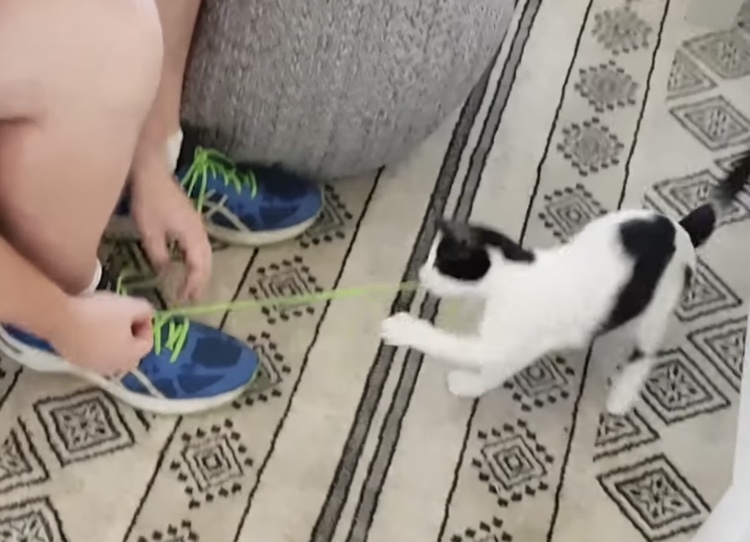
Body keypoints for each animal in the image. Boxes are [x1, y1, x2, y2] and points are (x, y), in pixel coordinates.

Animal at [380, 152, 750, 415]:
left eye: (439, 263)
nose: (421, 274)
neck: (513, 273)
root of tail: (681, 230)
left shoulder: (508, 337)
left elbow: (466, 351)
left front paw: (406, 332)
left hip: (659, 304)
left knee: (645, 353)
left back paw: (621, 396)